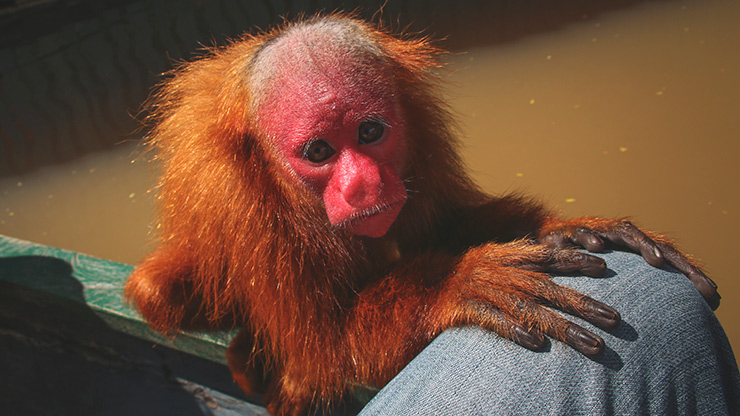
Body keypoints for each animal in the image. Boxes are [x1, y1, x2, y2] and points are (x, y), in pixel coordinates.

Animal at [124, 14, 720, 415]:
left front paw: (563, 229)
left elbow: (441, 226)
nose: (364, 183)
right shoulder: (244, 209)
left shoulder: (420, 136)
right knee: (161, 296)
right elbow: (324, 352)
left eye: (370, 132)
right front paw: (459, 283)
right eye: (319, 152)